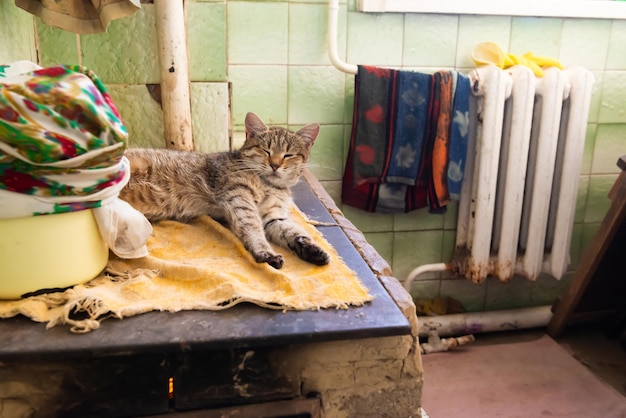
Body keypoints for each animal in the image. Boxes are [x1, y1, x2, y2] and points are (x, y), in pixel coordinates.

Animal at [119, 111, 330, 270]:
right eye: (266, 150)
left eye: (288, 154)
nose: (275, 165)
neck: (268, 185)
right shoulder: (239, 196)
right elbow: (253, 227)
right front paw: (265, 252)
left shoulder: (274, 217)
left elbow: (293, 231)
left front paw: (312, 249)